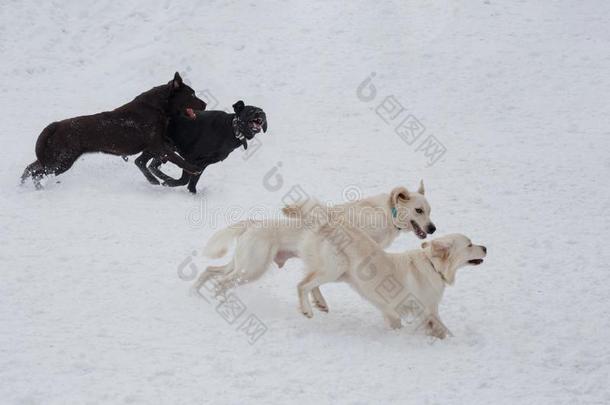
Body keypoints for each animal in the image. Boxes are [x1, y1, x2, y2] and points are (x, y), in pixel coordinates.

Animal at [22, 71, 207, 188]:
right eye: (191, 94)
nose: (205, 104)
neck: (157, 107)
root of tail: (57, 124)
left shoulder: (159, 144)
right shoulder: (157, 144)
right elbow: (177, 158)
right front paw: (193, 168)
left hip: (54, 158)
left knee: (30, 168)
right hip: (61, 162)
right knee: (37, 172)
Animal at [192, 181, 434, 308]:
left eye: (429, 211)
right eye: (418, 210)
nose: (432, 228)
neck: (386, 213)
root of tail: (253, 223)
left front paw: (318, 302)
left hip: (242, 264)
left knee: (210, 270)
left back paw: (195, 292)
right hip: (253, 268)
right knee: (221, 282)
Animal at [296, 224, 484, 338]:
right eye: (469, 244)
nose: (485, 248)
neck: (433, 265)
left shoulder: (394, 310)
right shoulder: (429, 309)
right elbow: (442, 329)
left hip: (339, 273)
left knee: (312, 283)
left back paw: (320, 303)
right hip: (335, 269)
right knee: (302, 285)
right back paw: (307, 310)